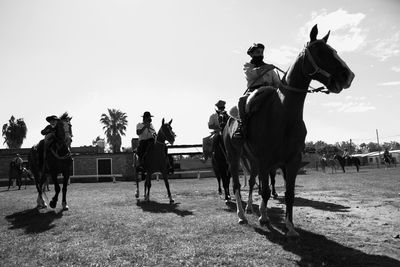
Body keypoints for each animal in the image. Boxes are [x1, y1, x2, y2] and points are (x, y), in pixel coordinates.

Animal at [223, 25, 354, 238]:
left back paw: (250, 208)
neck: (284, 115)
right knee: (236, 184)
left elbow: (289, 194)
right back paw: (242, 215)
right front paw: (264, 217)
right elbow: (266, 191)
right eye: (320, 51)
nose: (348, 75)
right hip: (234, 157)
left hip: (252, 161)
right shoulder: (266, 160)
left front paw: (290, 227)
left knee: (250, 182)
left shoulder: (292, 161)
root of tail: (228, 121)